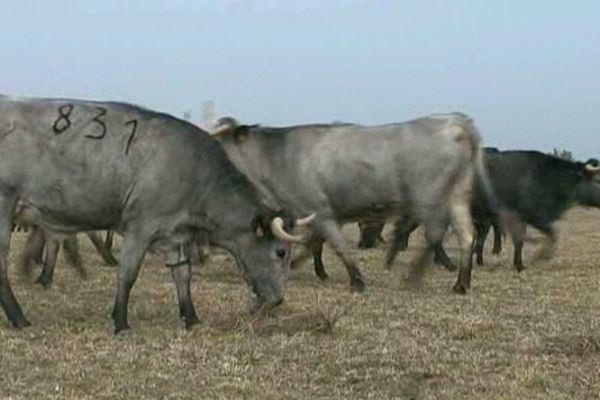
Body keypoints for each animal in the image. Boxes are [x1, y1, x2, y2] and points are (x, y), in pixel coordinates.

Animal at [0, 95, 308, 332]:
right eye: (281, 252)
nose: (278, 300)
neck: (196, 174)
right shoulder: (140, 227)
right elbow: (128, 273)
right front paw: (121, 322)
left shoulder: (175, 235)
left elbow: (183, 276)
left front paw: (191, 318)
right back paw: (19, 318)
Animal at [211, 112, 492, 294]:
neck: (277, 156)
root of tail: (454, 122)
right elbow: (314, 243)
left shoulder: (319, 211)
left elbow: (335, 244)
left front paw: (357, 281)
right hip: (457, 195)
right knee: (466, 235)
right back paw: (460, 284)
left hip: (430, 198)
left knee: (434, 234)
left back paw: (414, 277)